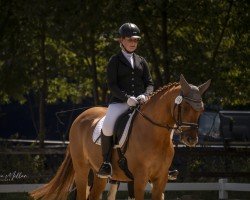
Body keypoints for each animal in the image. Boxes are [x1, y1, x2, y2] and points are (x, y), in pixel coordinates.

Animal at [29, 74, 211, 200]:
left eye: (201, 109)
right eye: (185, 107)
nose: (191, 140)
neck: (156, 136)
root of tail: (81, 117)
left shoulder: (161, 179)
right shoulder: (139, 179)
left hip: (99, 175)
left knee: (93, 196)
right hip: (82, 169)